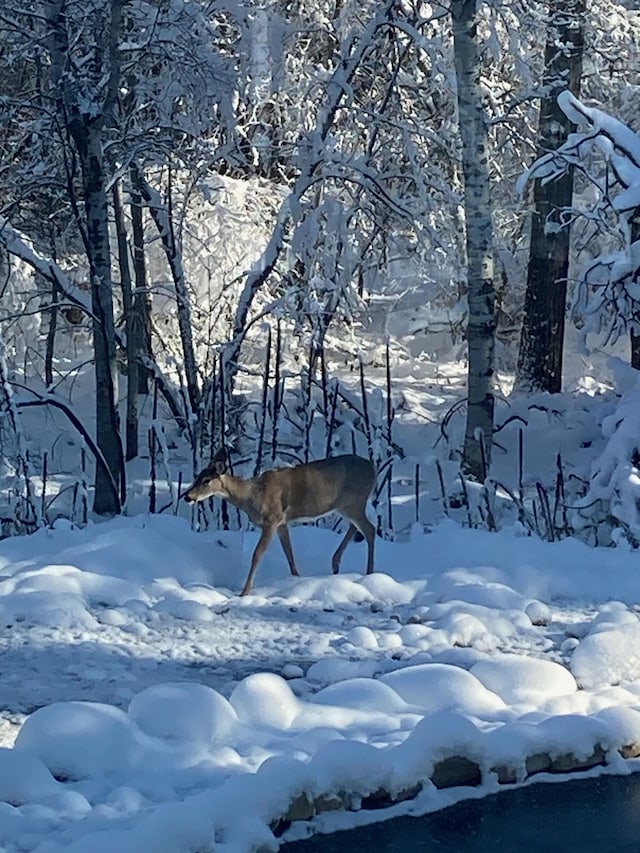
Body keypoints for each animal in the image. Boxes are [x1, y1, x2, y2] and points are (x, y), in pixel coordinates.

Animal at [182, 450, 378, 596]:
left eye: (207, 481)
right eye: (197, 477)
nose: (187, 497)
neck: (252, 496)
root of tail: (372, 466)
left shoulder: (272, 519)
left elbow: (257, 554)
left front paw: (245, 592)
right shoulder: (282, 523)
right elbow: (289, 552)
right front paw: (297, 579)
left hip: (354, 502)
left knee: (370, 528)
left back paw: (369, 573)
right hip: (346, 506)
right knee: (356, 526)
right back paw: (336, 563)